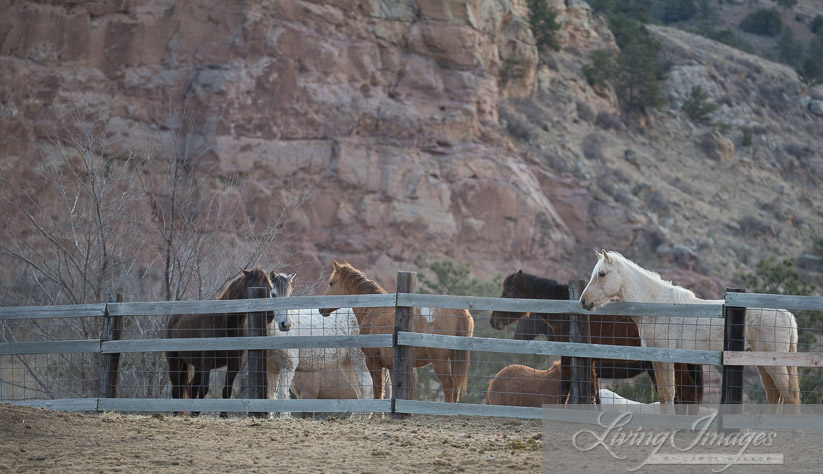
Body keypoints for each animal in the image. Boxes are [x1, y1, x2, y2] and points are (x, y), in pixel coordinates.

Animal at [165, 268, 290, 412]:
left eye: (270, 288)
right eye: (258, 286)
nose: (269, 315)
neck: (225, 323)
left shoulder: (234, 362)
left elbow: (226, 391)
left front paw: (222, 414)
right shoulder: (207, 361)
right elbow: (204, 389)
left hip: (197, 366)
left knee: (191, 388)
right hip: (175, 362)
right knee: (177, 390)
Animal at [268, 270, 374, 418]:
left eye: (289, 295)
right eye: (273, 295)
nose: (286, 324)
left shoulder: (288, 365)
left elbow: (282, 396)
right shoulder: (271, 368)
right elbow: (270, 395)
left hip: (359, 360)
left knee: (367, 390)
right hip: (347, 364)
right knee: (360, 393)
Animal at [318, 262, 474, 402]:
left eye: (331, 283)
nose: (321, 309)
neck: (373, 310)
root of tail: (458, 311)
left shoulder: (373, 361)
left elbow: (377, 391)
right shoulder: (392, 366)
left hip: (439, 360)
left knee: (448, 384)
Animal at [492, 270, 704, 404]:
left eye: (508, 292)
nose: (494, 321)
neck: (569, 313)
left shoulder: (570, 358)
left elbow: (565, 386)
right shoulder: (589, 362)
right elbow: (592, 392)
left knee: (686, 392)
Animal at [580, 252, 800, 404]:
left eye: (602, 274)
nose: (584, 301)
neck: (657, 305)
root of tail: (787, 315)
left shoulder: (665, 358)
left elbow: (668, 393)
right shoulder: (656, 359)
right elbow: (665, 394)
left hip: (774, 364)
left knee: (789, 394)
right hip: (763, 363)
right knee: (774, 394)